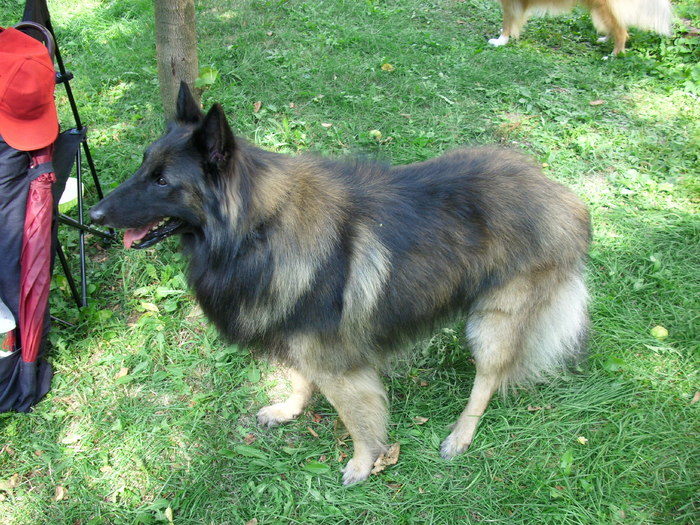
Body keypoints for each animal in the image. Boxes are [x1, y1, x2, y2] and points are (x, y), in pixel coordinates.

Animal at [89, 82, 592, 484]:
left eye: (162, 181)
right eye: (143, 167)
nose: (92, 215)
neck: (256, 231)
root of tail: (562, 195)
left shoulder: (339, 367)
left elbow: (357, 420)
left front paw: (363, 464)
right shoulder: (295, 332)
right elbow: (300, 380)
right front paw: (290, 410)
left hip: (494, 323)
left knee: (486, 382)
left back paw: (460, 434)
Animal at [486, 0, 672, 53]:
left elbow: (508, 21)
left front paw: (501, 41)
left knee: (621, 32)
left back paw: (613, 55)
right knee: (619, 26)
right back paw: (606, 40)